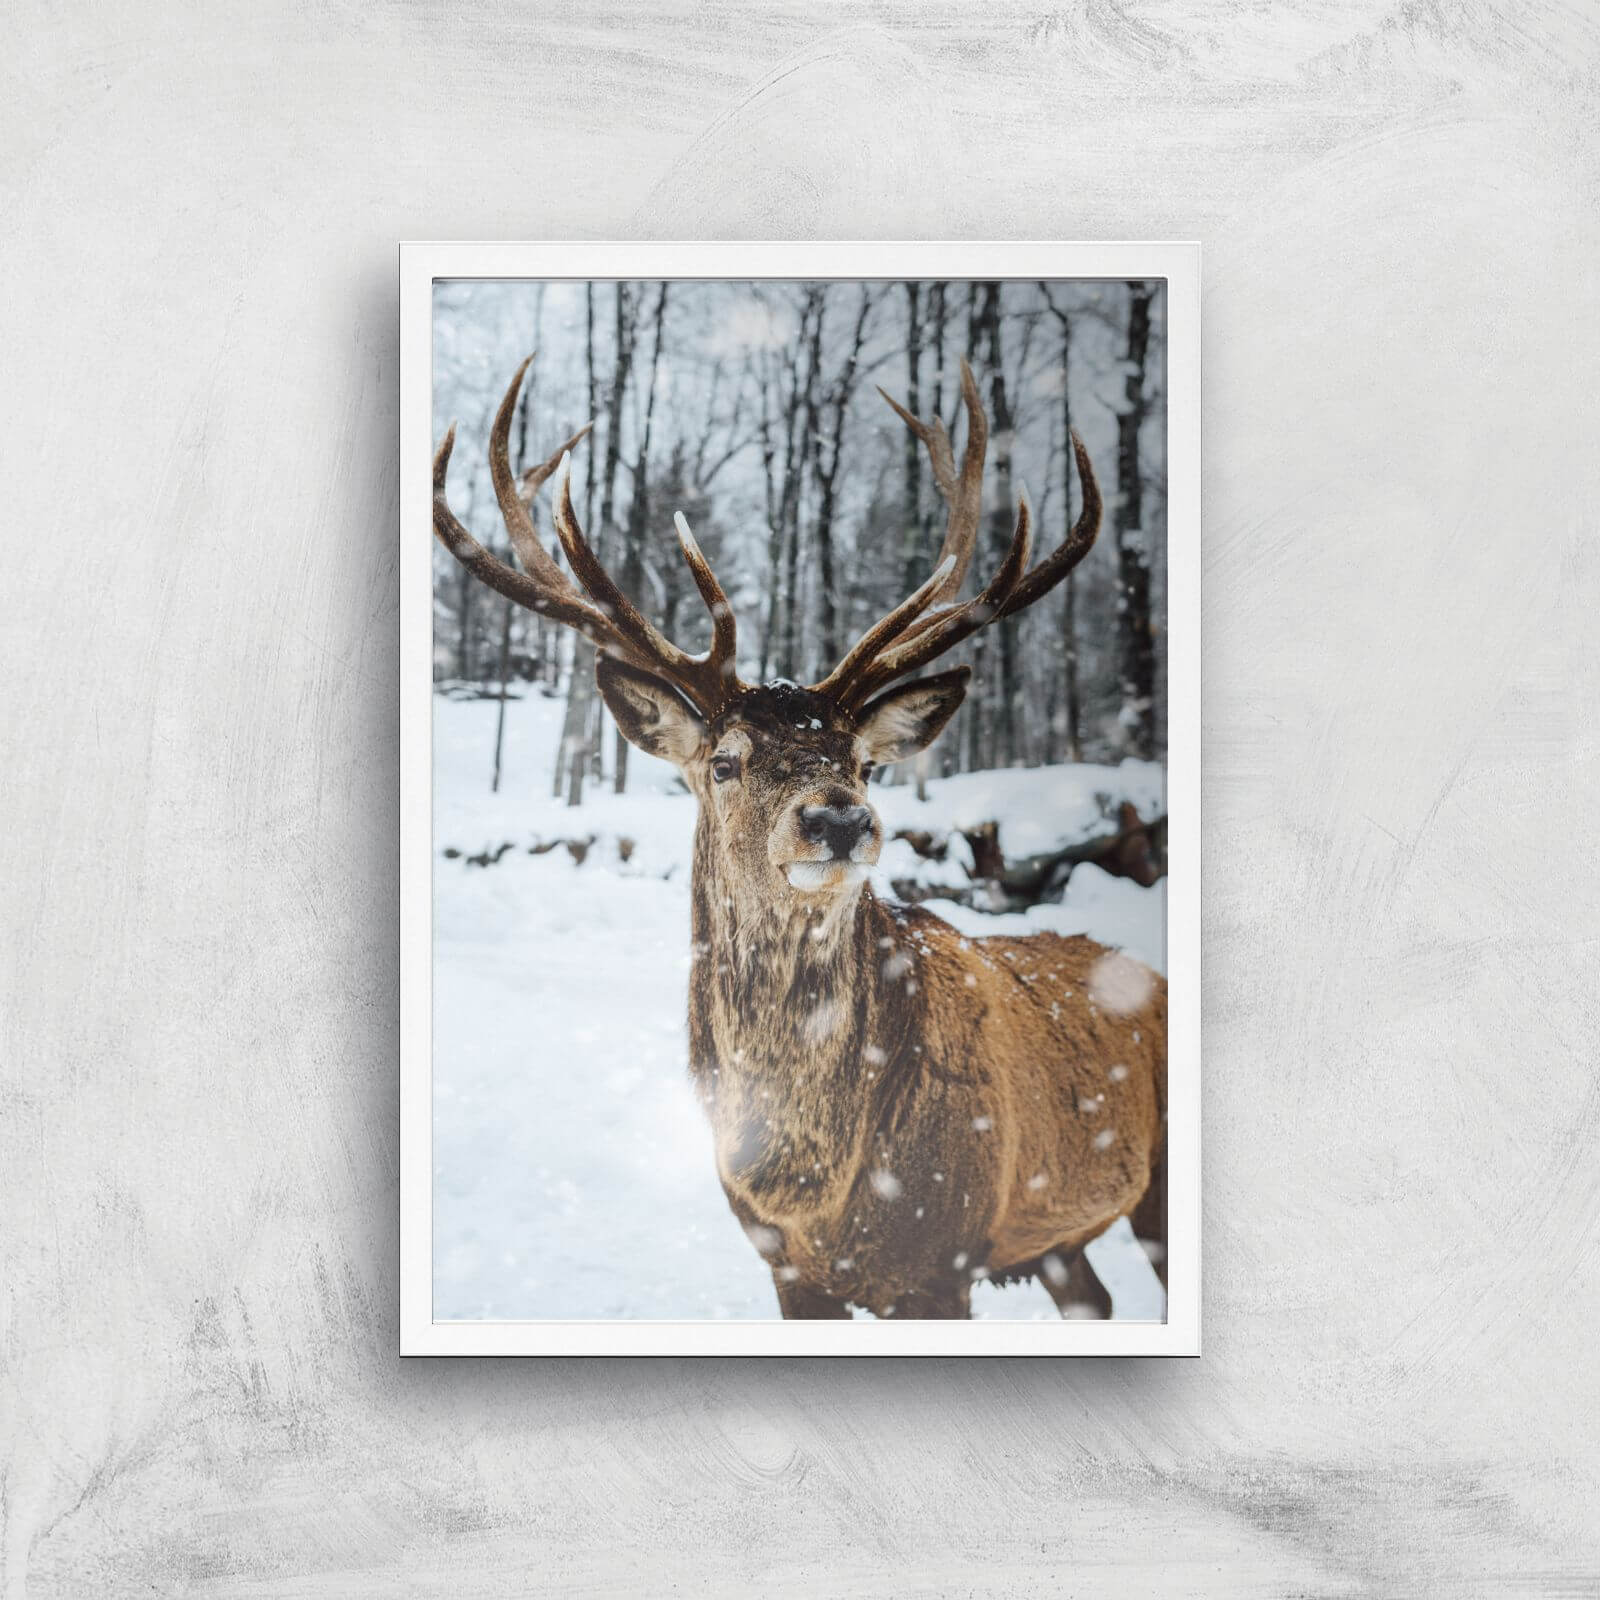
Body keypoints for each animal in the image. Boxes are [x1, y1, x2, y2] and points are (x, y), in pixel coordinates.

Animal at [432, 352, 1167, 1320]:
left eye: (864, 763)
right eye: (724, 761)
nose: (838, 817)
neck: (814, 1188)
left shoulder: (947, 1260)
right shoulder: (782, 1265)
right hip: (1059, 1245)